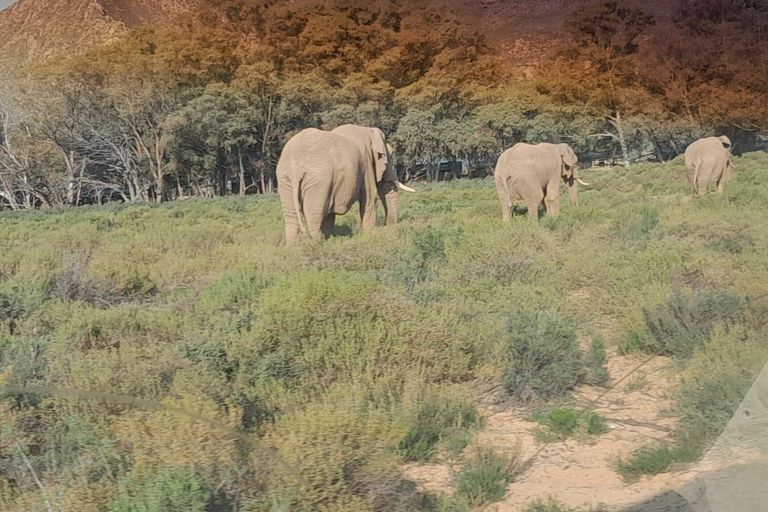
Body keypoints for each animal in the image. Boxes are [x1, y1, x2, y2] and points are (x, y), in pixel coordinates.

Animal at [272, 124, 412, 244]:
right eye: (389, 157)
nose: (389, 227)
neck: (368, 130)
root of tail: (295, 169)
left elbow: (329, 212)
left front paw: (330, 238)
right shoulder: (366, 164)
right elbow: (370, 198)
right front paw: (370, 235)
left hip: (285, 179)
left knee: (291, 215)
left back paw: (292, 246)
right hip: (318, 181)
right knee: (314, 215)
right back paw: (317, 243)